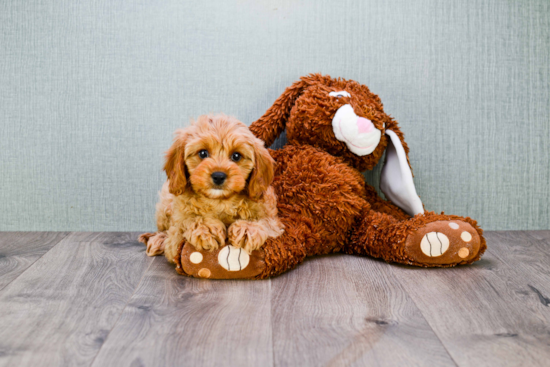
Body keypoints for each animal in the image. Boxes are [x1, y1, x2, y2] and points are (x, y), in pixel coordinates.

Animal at [139, 113, 284, 264]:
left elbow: (266, 223)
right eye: (203, 153)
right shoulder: (175, 238)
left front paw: (247, 228)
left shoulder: (273, 221)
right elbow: (185, 223)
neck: (220, 201)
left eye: (236, 156)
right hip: (164, 206)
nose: (218, 176)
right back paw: (158, 240)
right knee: (163, 230)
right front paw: (207, 228)